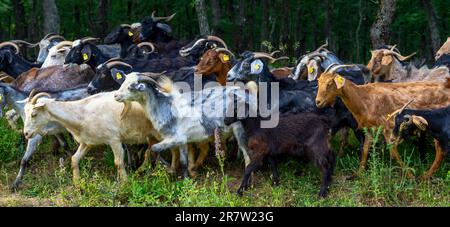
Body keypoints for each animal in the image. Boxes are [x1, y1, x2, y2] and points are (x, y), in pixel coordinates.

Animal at [314, 65, 450, 179]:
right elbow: (365, 149)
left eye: (330, 83)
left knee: (440, 151)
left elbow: (393, 151)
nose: (318, 101)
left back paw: (425, 177)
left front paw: (410, 175)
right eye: (319, 82)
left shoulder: (388, 127)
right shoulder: (369, 129)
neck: (364, 98)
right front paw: (358, 173)